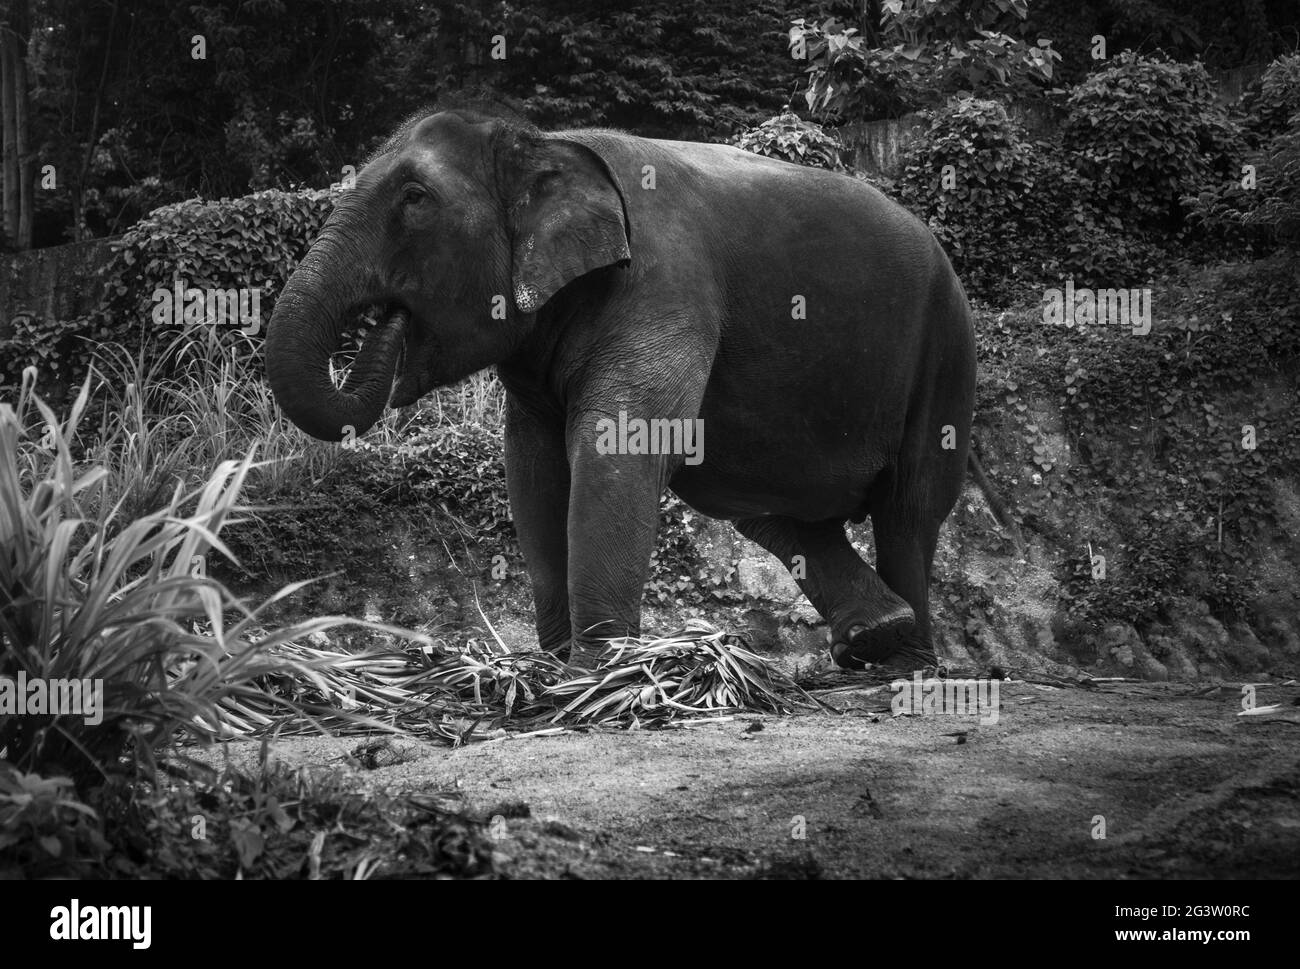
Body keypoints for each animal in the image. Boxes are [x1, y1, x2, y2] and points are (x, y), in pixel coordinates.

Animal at [269, 106, 1008, 665]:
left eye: (416, 200)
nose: (387, 320)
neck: (543, 140)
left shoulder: (662, 288)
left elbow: (616, 451)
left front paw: (597, 677)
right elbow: (533, 472)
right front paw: (558, 672)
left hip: (946, 350)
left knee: (908, 509)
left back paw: (910, 663)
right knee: (765, 507)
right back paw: (876, 640)